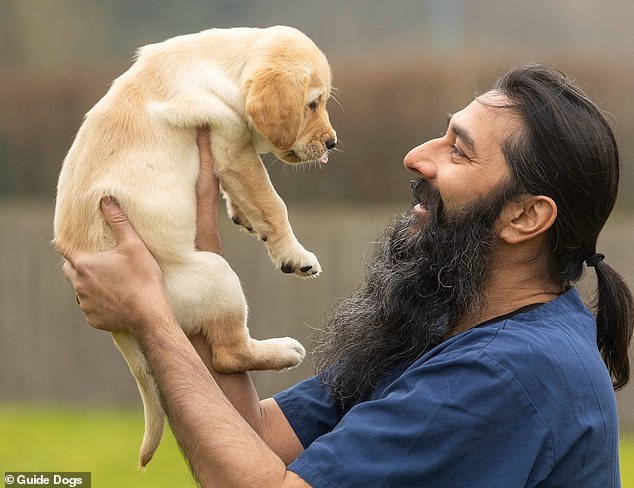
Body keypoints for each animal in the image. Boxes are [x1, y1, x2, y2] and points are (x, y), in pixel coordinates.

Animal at [53, 25, 336, 466]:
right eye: (312, 104)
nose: (333, 143)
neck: (222, 61)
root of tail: (118, 327)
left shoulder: (230, 156)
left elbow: (250, 198)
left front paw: (244, 216)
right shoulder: (233, 148)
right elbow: (273, 202)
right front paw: (295, 255)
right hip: (219, 276)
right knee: (228, 353)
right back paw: (283, 351)